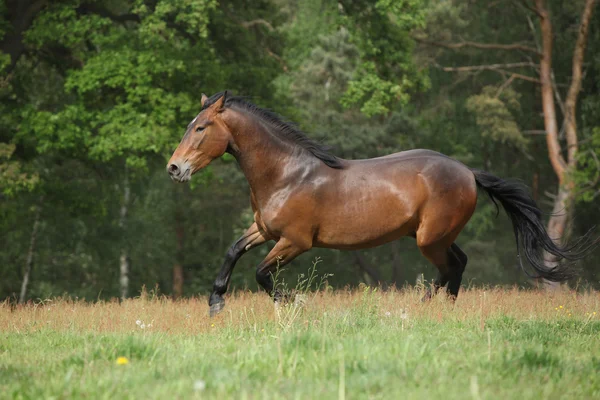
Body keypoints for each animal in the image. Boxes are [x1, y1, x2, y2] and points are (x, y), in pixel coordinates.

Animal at [166, 91, 592, 316]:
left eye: (200, 128)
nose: (174, 168)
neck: (287, 174)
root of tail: (468, 172)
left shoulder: (295, 242)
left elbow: (261, 274)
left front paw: (297, 302)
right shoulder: (265, 230)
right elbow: (233, 251)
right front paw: (215, 301)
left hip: (429, 239)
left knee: (450, 267)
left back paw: (424, 309)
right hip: (435, 234)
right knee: (458, 263)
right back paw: (436, 308)